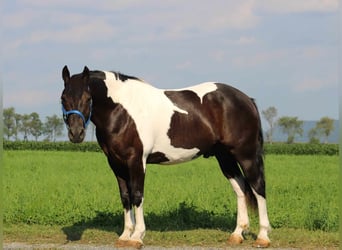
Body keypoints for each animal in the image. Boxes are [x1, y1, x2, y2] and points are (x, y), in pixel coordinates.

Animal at [60, 65, 272, 247]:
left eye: (88, 97)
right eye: (63, 98)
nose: (76, 133)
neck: (123, 111)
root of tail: (246, 99)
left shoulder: (136, 161)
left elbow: (137, 195)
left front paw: (137, 236)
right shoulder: (116, 163)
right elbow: (125, 197)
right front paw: (125, 235)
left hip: (246, 155)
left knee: (258, 187)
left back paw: (263, 236)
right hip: (225, 157)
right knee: (240, 189)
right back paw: (237, 234)